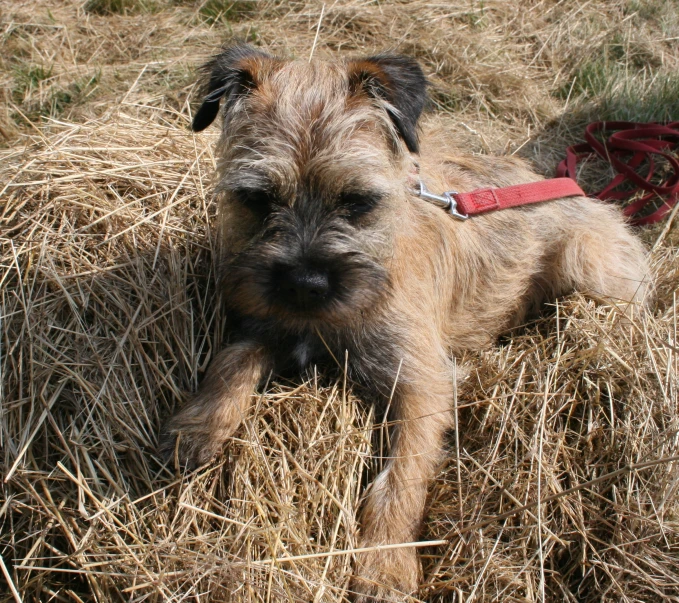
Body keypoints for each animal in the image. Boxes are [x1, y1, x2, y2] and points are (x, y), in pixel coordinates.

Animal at [161, 43, 652, 603]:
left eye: (357, 200)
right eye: (258, 199)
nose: (307, 284)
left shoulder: (422, 382)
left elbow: (402, 476)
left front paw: (385, 564)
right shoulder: (272, 320)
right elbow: (232, 359)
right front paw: (200, 424)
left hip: (584, 260)